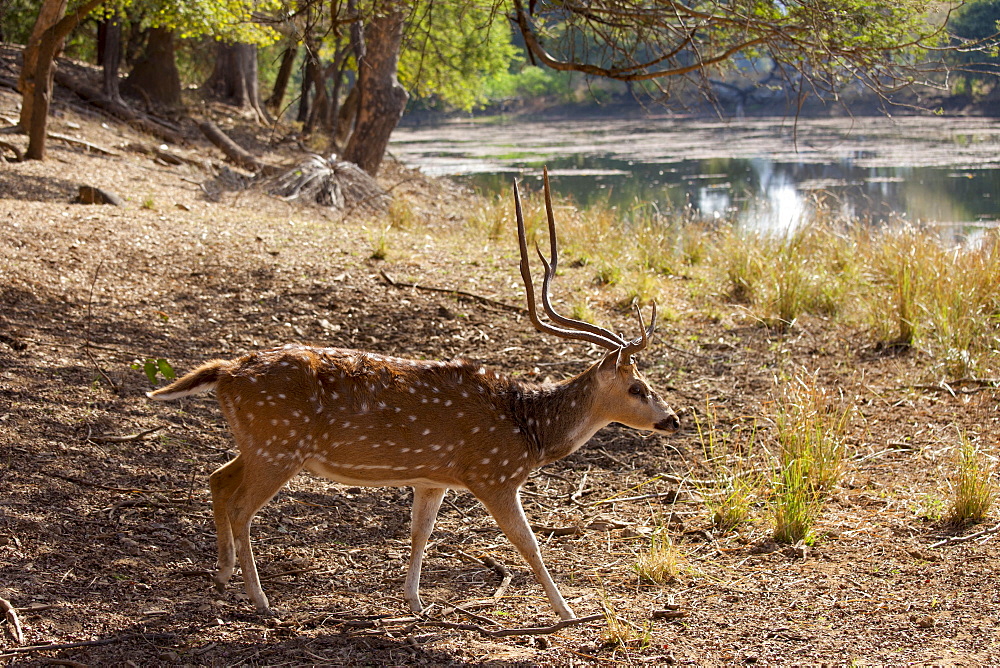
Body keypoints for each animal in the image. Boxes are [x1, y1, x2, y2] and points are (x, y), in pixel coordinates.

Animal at [148, 172, 680, 620]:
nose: (672, 419)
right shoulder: (493, 475)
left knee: (217, 479)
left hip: (258, 443)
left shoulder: (433, 476)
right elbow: (528, 544)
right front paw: (566, 612)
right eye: (637, 387)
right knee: (241, 505)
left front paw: (415, 601)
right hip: (279, 445)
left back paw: (222, 577)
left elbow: (420, 531)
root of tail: (225, 371)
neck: (530, 429)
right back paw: (259, 599)